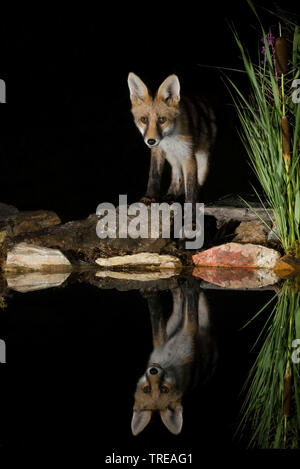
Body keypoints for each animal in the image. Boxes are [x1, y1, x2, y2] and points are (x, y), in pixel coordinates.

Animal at [126, 72, 216, 204]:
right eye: (144, 119)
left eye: (162, 120)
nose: (151, 141)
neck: (170, 139)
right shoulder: (158, 150)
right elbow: (154, 174)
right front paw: (150, 196)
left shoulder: (188, 155)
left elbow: (191, 185)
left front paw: (190, 205)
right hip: (172, 158)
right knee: (177, 177)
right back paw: (170, 195)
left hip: (203, 163)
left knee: (196, 183)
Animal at [131, 278, 216, 436]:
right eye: (147, 389)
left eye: (164, 389)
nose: (153, 370)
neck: (168, 360)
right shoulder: (173, 338)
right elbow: (163, 315)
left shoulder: (181, 336)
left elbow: (162, 314)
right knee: (185, 307)